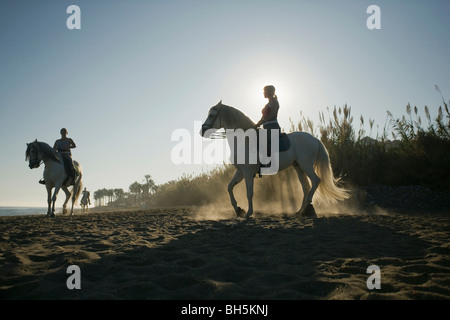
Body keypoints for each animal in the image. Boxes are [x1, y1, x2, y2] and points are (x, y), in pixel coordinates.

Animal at [200, 101, 352, 219]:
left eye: (212, 114)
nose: (202, 130)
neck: (244, 139)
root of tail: (314, 139)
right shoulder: (241, 171)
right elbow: (229, 187)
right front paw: (238, 210)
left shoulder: (248, 172)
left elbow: (249, 193)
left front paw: (248, 213)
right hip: (298, 167)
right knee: (305, 187)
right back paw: (300, 211)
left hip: (306, 165)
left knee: (315, 181)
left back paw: (306, 207)